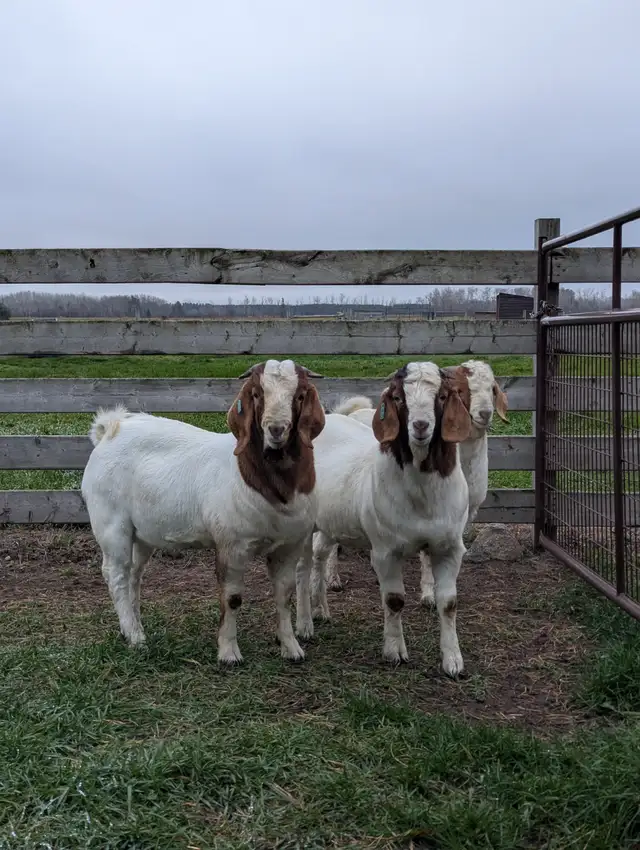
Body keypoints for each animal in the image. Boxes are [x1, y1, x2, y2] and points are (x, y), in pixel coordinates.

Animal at [81, 359, 325, 665]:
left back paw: (135, 627)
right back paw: (135, 637)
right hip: (111, 523)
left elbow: (284, 595)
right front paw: (229, 653)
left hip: (142, 532)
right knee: (116, 574)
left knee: (133, 574)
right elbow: (232, 597)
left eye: (300, 395)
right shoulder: (233, 544)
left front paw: (291, 648)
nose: (276, 429)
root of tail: (110, 429)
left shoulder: (289, 545)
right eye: (257, 394)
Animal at [295, 362, 471, 678]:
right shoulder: (385, 550)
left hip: (331, 520)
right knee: (302, 568)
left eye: (441, 396)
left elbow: (449, 603)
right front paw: (394, 651)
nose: (421, 426)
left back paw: (321, 609)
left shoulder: (449, 548)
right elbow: (394, 600)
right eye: (399, 398)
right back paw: (304, 625)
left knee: (320, 554)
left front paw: (453, 661)